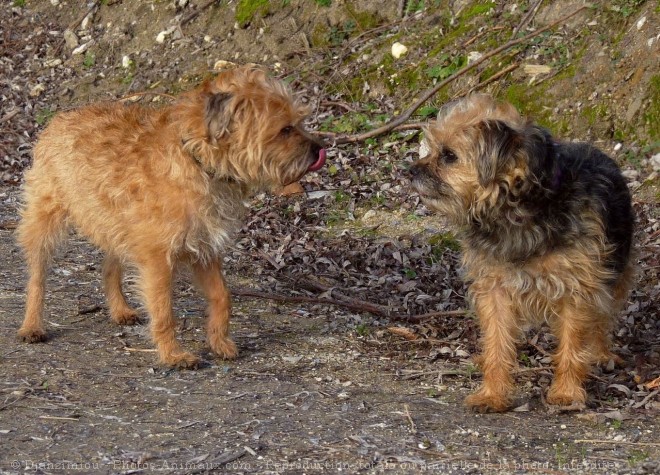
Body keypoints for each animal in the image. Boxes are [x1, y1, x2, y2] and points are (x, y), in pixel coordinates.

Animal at [19, 64, 328, 368]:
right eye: (285, 129)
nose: (319, 149)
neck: (198, 158)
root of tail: (60, 118)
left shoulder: (204, 249)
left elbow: (222, 296)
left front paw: (219, 341)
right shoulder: (158, 259)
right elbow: (164, 309)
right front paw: (172, 354)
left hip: (117, 226)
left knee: (109, 267)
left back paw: (119, 309)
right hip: (44, 222)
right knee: (37, 278)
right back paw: (32, 325)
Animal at [412, 94, 636, 412]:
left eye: (449, 156)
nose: (409, 171)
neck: (516, 211)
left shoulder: (577, 289)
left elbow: (573, 343)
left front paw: (567, 391)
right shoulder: (494, 290)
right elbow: (497, 343)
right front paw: (492, 393)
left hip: (616, 273)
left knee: (602, 318)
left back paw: (600, 353)